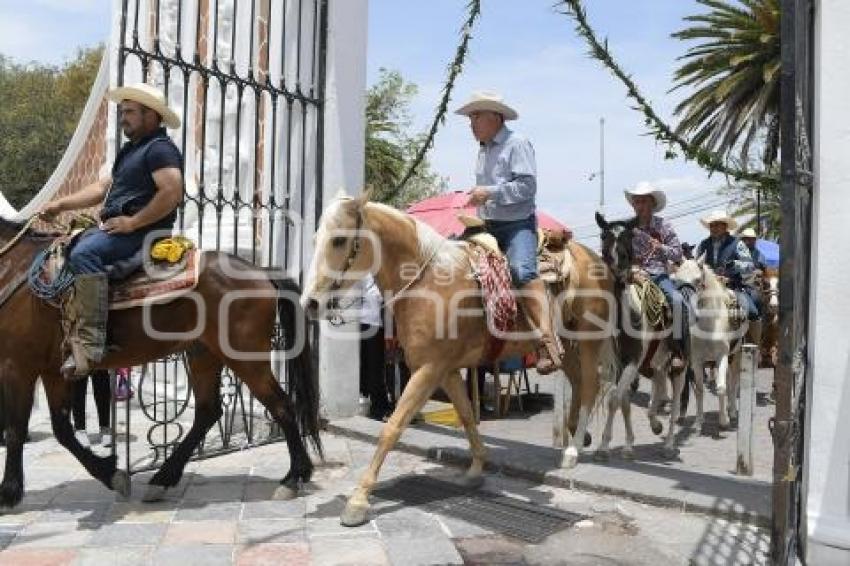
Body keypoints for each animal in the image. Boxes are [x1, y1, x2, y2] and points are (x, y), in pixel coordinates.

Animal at [0, 219, 318, 510]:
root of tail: (261, 272)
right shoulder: (50, 370)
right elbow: (62, 430)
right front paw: (111, 474)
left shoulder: (18, 366)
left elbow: (16, 429)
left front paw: (9, 493)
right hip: (203, 354)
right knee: (208, 411)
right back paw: (163, 478)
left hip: (245, 358)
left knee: (281, 405)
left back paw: (294, 477)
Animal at [302, 194, 612, 528]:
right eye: (315, 239)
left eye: (339, 240)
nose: (310, 303)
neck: (429, 282)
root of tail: (594, 258)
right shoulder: (446, 370)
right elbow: (465, 415)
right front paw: (476, 469)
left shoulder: (427, 370)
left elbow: (393, 427)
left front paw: (358, 501)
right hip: (564, 346)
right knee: (578, 381)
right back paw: (576, 434)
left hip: (590, 339)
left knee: (590, 385)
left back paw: (573, 449)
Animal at [592, 215, 684, 460]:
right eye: (604, 235)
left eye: (628, 236)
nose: (616, 262)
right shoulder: (616, 363)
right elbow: (622, 401)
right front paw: (625, 445)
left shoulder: (633, 360)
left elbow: (614, 399)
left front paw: (605, 446)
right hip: (655, 360)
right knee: (659, 382)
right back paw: (655, 423)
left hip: (680, 365)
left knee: (676, 400)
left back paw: (669, 444)